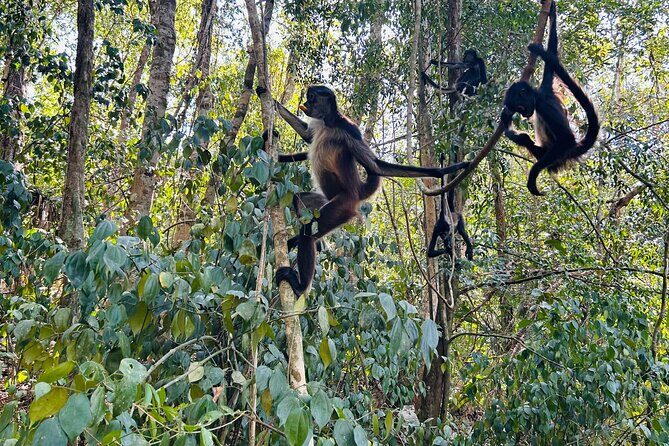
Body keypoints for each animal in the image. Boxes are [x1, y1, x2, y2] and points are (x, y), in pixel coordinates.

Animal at [258, 85, 470, 295]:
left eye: (312, 98)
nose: (306, 103)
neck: (329, 123)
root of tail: (357, 192)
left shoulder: (350, 130)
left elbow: (376, 165)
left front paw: (443, 170)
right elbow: (307, 135)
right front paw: (266, 96)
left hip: (341, 206)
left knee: (310, 230)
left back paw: (301, 287)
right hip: (325, 201)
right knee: (299, 202)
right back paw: (308, 243)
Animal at [501, 1, 599, 196]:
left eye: (520, 108)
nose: (524, 115)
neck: (539, 97)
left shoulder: (545, 106)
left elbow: (566, 138)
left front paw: (533, 175)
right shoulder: (546, 85)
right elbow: (552, 51)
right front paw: (551, 10)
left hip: (556, 157)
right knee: (525, 139)